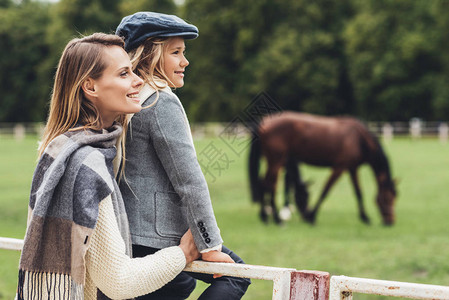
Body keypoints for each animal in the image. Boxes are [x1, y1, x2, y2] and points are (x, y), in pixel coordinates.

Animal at [247, 112, 398, 225]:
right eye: (387, 198)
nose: (390, 221)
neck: (359, 138)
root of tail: (264, 123)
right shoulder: (340, 167)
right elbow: (326, 190)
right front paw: (312, 216)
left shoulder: (352, 168)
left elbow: (358, 192)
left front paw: (365, 217)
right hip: (276, 161)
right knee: (269, 185)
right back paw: (277, 220)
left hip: (273, 161)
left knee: (265, 184)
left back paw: (266, 217)